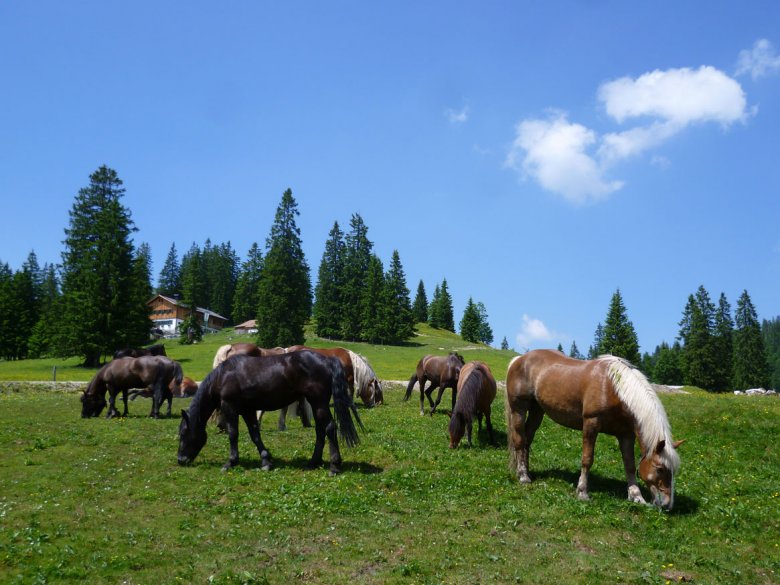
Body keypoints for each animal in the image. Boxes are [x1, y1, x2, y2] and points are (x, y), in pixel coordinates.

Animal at [178, 350, 364, 472]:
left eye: (182, 433)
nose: (180, 460)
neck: (224, 376)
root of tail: (327, 360)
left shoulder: (229, 407)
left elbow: (233, 433)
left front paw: (231, 462)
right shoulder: (248, 410)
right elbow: (255, 434)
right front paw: (266, 461)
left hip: (319, 403)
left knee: (330, 428)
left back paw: (334, 465)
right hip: (317, 404)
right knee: (320, 431)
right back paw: (313, 462)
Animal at [506, 350, 684, 508]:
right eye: (660, 468)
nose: (667, 504)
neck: (613, 388)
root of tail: (519, 359)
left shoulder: (626, 435)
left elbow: (630, 465)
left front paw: (636, 496)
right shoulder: (591, 424)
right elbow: (587, 459)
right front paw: (582, 492)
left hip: (537, 411)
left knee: (527, 440)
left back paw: (526, 471)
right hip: (518, 409)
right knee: (519, 441)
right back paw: (523, 476)